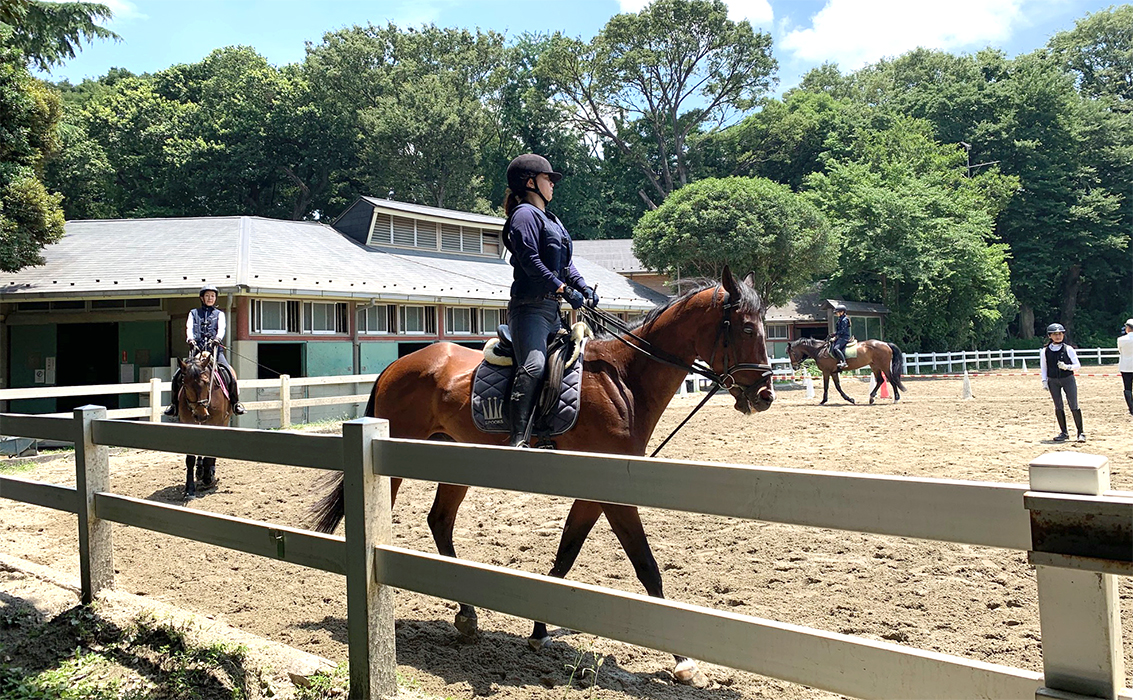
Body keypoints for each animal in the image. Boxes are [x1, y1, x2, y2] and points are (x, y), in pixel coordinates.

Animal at [173, 344, 231, 496]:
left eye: (206, 382)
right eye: (185, 384)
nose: (201, 415)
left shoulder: (216, 423)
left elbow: (210, 454)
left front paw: (208, 478)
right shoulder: (188, 424)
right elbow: (190, 458)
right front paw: (189, 489)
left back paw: (208, 473)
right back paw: (200, 470)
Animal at [310, 263, 770, 684]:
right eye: (747, 328)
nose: (764, 395)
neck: (625, 380)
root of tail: (398, 365)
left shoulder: (595, 490)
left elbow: (566, 555)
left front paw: (538, 630)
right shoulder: (611, 492)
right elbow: (645, 565)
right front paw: (683, 660)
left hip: (456, 461)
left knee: (440, 521)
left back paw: (467, 617)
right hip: (393, 467)